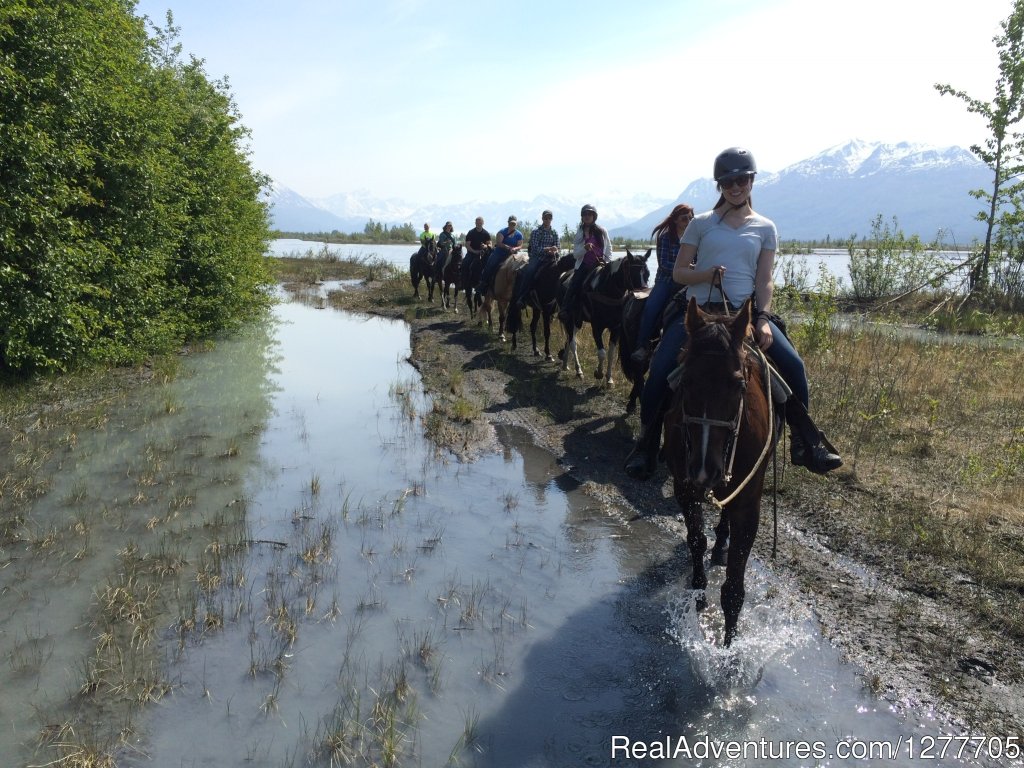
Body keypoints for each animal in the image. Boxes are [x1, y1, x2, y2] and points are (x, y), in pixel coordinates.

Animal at [663, 296, 774, 647]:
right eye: (686, 381)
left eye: (738, 384)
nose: (704, 470)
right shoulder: (684, 487)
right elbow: (696, 540)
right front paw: (699, 600)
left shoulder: (748, 504)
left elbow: (735, 587)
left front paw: (729, 645)